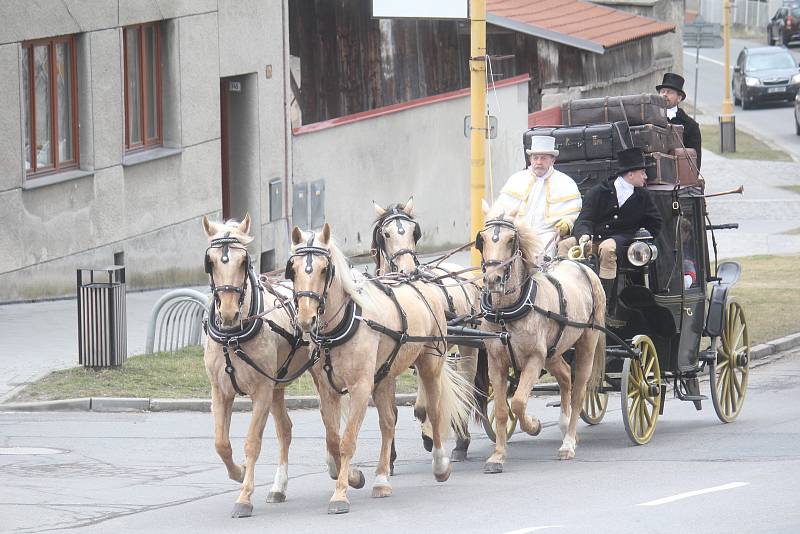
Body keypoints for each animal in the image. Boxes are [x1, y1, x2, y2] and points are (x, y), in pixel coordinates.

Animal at [202, 217, 310, 520]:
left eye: (243, 262)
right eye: (210, 262)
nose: (228, 313)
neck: (233, 336)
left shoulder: (261, 391)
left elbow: (252, 442)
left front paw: (244, 497)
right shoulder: (220, 391)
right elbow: (221, 443)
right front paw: (238, 473)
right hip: (278, 385)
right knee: (285, 429)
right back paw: (279, 487)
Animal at [288, 225, 476, 516]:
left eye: (324, 269)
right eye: (293, 269)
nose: (307, 319)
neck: (343, 323)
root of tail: (420, 280)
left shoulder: (360, 387)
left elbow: (347, 441)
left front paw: (340, 494)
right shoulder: (328, 389)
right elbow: (333, 440)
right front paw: (354, 477)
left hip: (430, 363)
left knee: (433, 412)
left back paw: (440, 464)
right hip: (385, 376)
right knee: (388, 423)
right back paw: (381, 479)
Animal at [370, 199, 482, 462]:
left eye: (414, 232)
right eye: (385, 234)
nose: (408, 271)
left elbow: (427, 403)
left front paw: (430, 435)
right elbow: (391, 410)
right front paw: (390, 456)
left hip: (467, 345)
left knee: (465, 387)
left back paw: (460, 441)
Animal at [478, 201, 604, 474]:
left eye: (511, 239)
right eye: (482, 239)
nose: (492, 279)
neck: (505, 313)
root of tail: (579, 264)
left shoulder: (534, 359)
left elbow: (518, 402)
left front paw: (534, 425)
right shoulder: (496, 362)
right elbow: (502, 409)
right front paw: (497, 456)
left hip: (586, 344)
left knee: (578, 391)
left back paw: (568, 443)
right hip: (553, 352)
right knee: (566, 376)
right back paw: (565, 425)